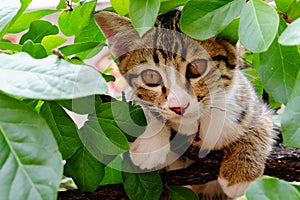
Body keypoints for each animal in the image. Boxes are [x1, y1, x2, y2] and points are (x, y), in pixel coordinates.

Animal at [95, 10, 276, 199]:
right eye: (151, 77)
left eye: (197, 68)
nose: (179, 106)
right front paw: (151, 141)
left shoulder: (248, 101)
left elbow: (262, 124)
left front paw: (239, 174)